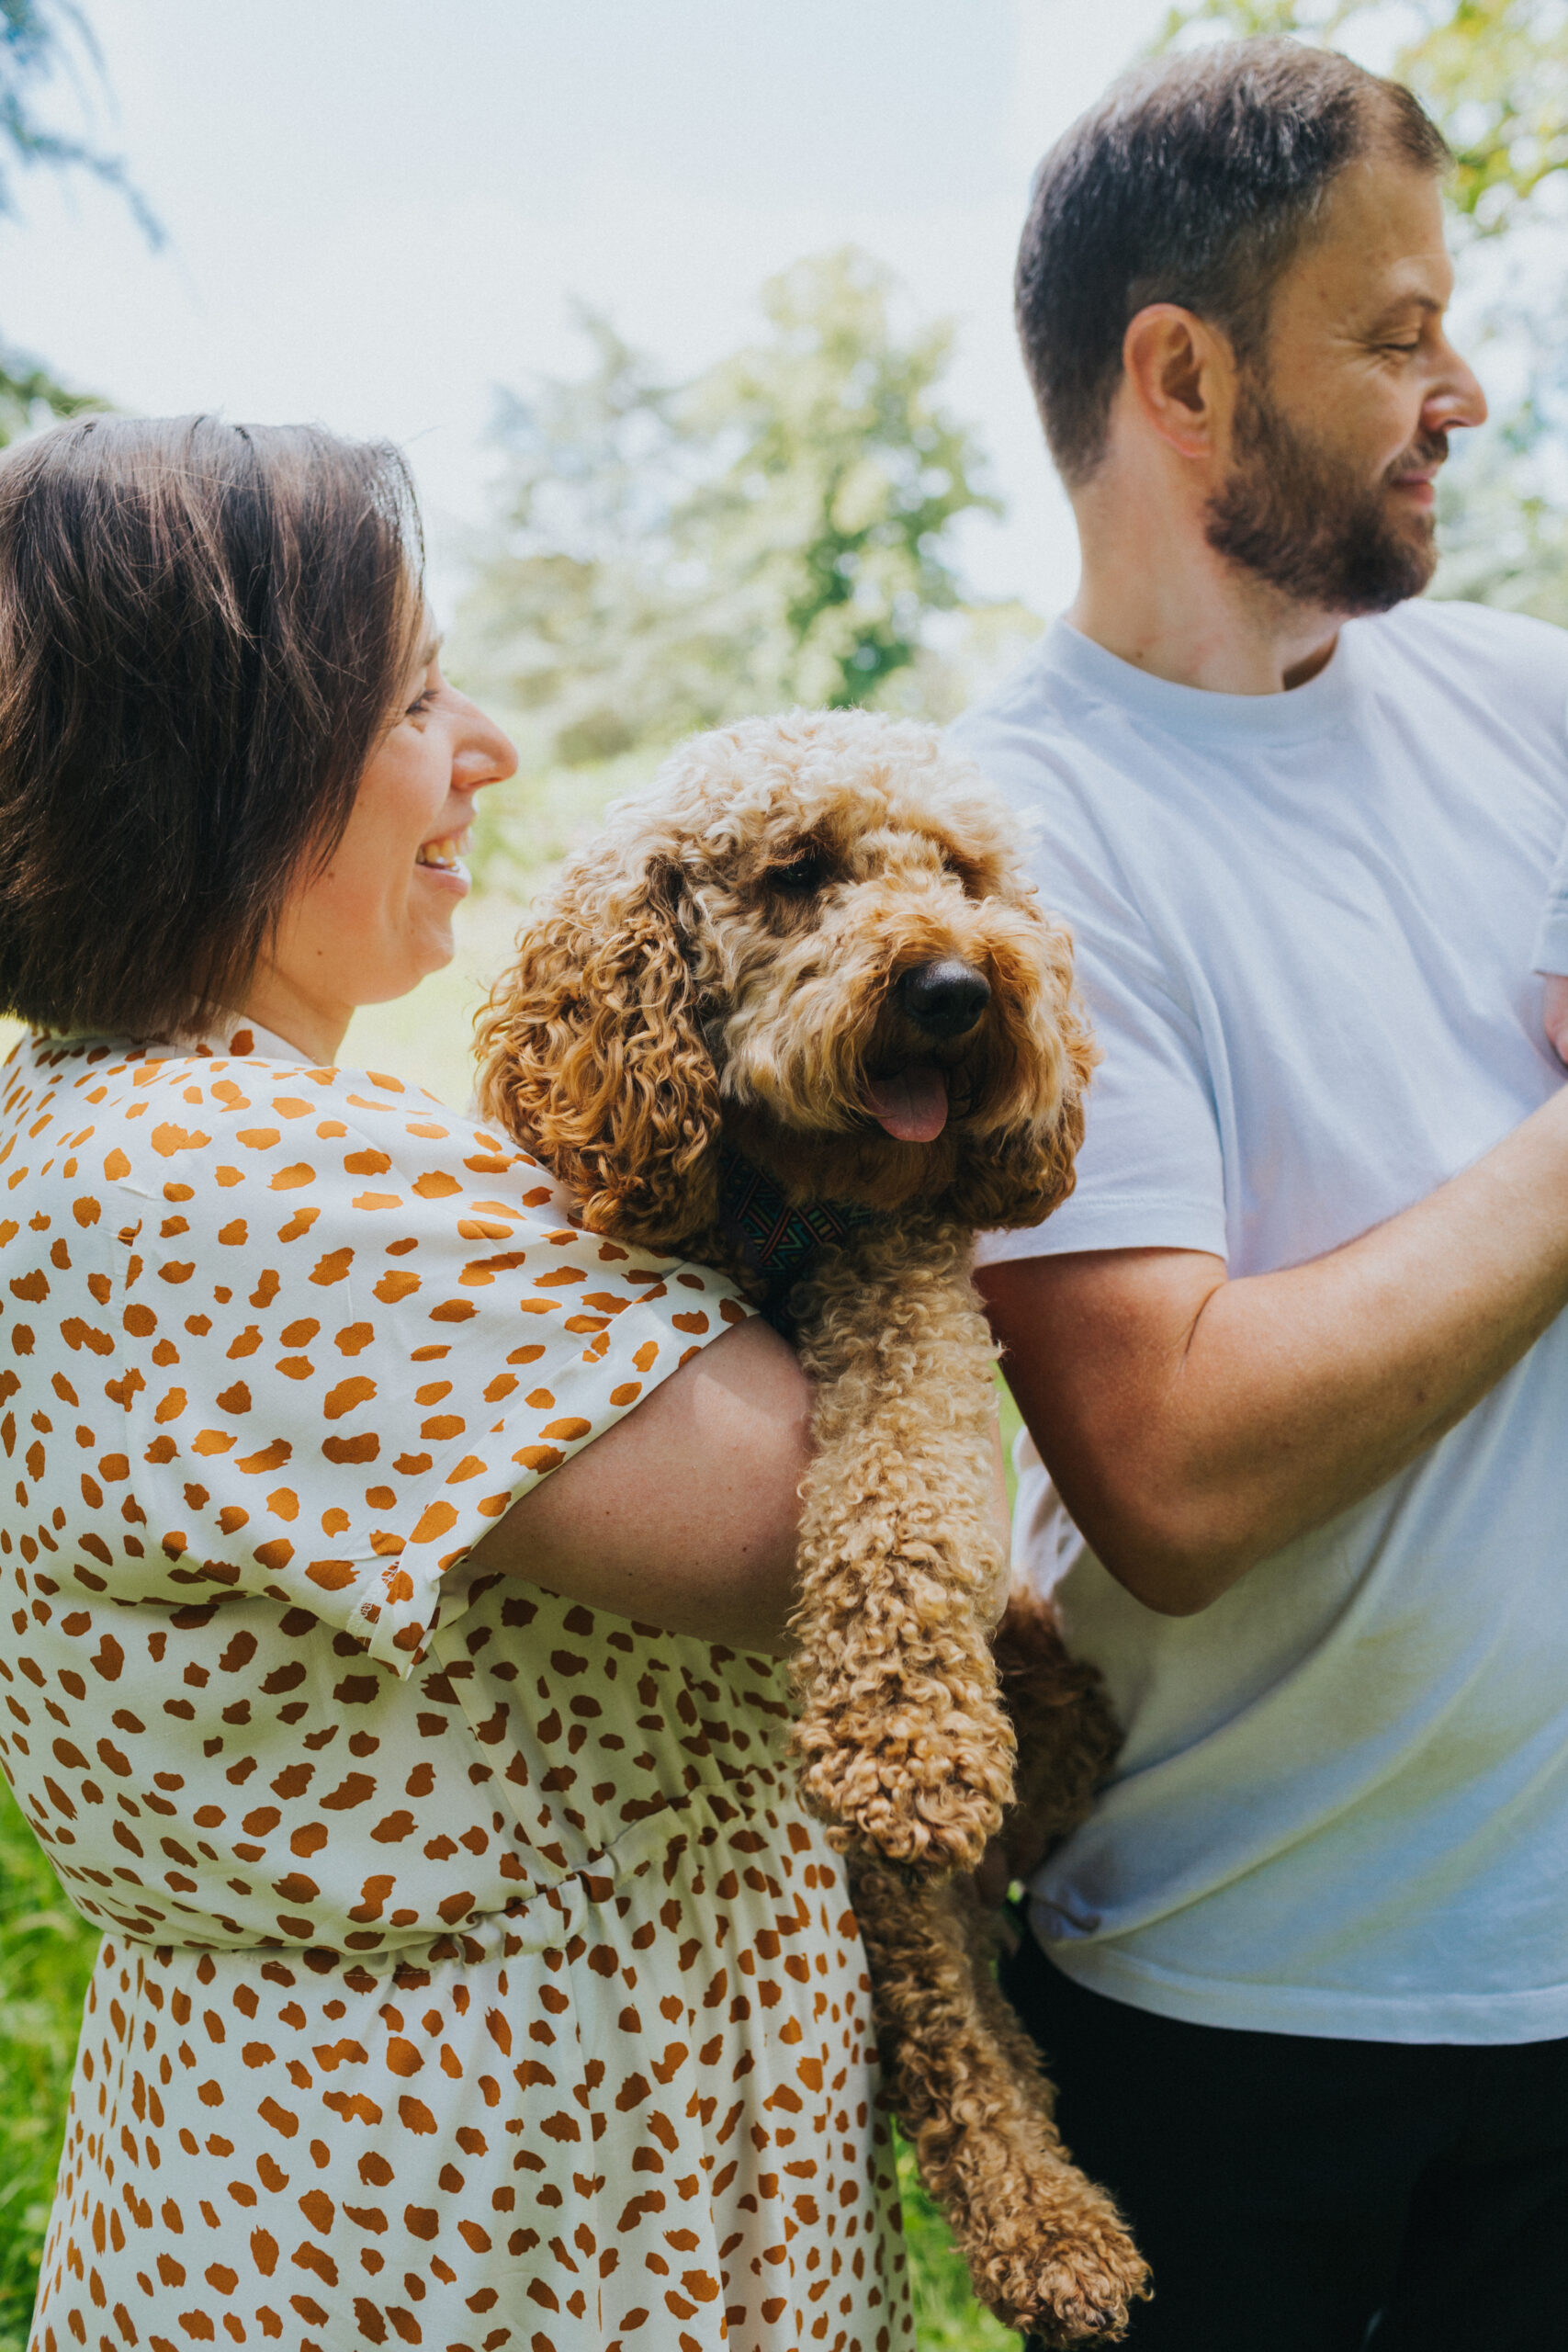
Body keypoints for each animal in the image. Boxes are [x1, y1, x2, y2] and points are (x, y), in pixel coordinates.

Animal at [472, 706, 1146, 2342]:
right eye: (796, 875)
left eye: (962, 874)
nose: (957, 987)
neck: (779, 1201)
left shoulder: (906, 1289)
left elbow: (903, 1494)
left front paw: (907, 1741)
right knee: (940, 1998)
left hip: (1050, 1684)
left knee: (955, 1967)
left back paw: (1049, 2225)